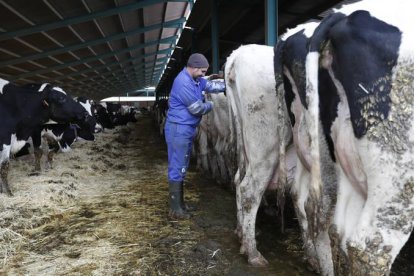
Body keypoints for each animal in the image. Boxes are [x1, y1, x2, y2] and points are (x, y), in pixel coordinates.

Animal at [223, 44, 294, 266]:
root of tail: (238, 54)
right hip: (266, 146)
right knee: (249, 190)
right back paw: (253, 253)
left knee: (238, 180)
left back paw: (241, 234)